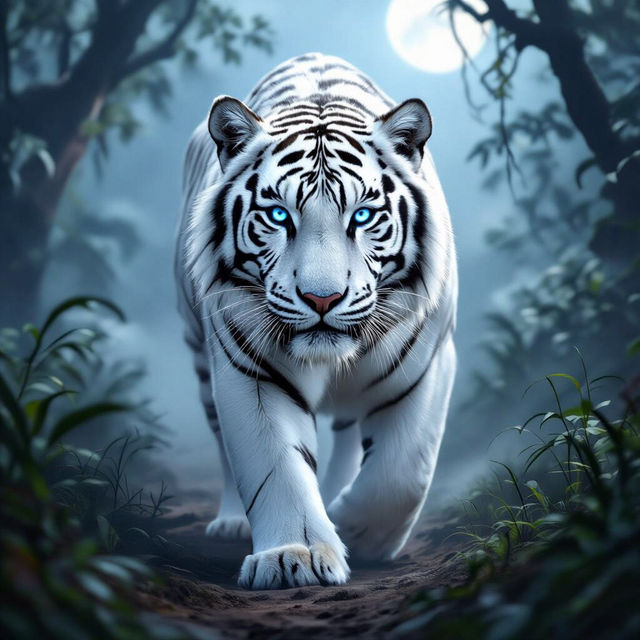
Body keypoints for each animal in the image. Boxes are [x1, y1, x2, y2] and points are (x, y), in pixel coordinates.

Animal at [174, 53, 457, 590]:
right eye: (279, 216)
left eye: (363, 216)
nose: (321, 298)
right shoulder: (252, 369)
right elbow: (276, 466)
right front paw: (295, 556)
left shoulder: (428, 365)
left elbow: (403, 472)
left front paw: (359, 534)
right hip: (200, 357)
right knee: (222, 444)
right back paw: (231, 521)